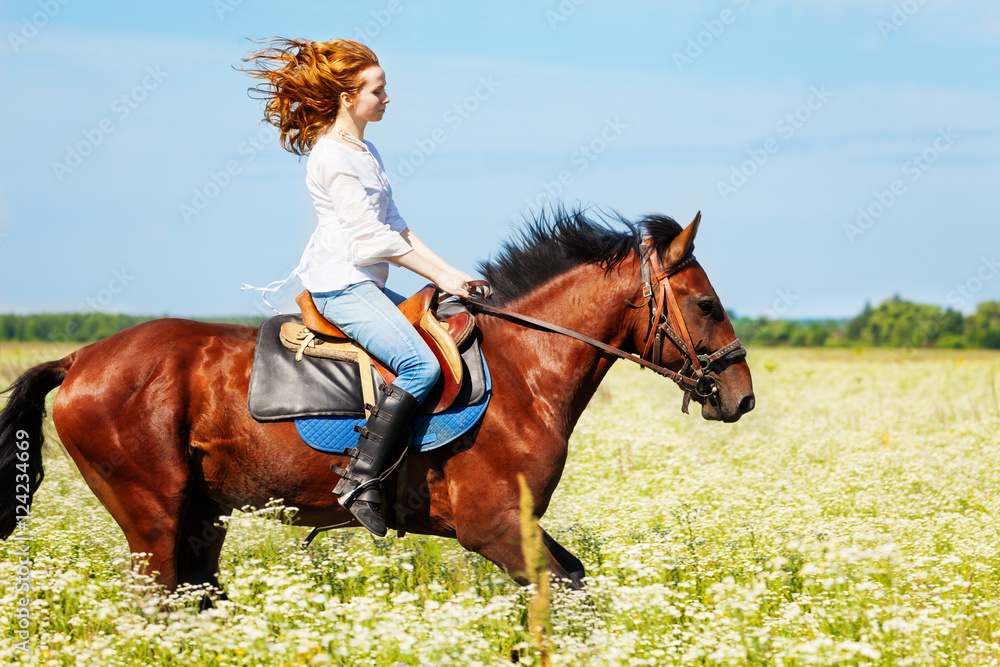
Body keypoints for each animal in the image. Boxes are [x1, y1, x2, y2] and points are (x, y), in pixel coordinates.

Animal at [0, 209, 752, 596]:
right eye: (706, 304)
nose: (741, 397)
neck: (523, 369)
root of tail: (80, 359)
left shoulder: (515, 526)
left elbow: (574, 582)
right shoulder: (495, 528)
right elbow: (561, 592)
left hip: (201, 519)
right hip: (152, 518)